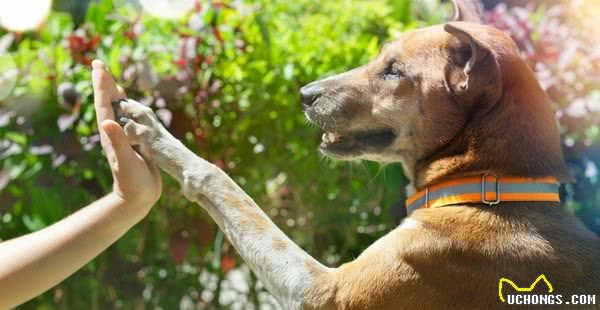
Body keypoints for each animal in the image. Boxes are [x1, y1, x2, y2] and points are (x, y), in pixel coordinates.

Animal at [110, 0, 596, 308]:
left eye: (394, 72)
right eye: (381, 57)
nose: (304, 94)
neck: (489, 184)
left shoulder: (324, 292)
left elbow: (228, 188)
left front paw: (156, 133)